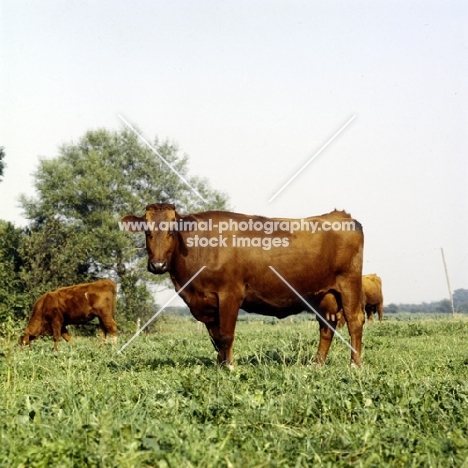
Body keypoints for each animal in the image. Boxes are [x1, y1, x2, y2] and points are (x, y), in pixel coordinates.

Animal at [121, 203, 366, 368]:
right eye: (147, 231)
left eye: (172, 231)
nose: (158, 265)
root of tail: (342, 216)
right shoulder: (207, 302)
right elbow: (215, 338)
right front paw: (220, 366)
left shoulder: (230, 294)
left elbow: (226, 335)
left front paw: (229, 367)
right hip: (323, 296)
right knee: (326, 327)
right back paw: (316, 364)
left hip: (349, 283)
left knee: (355, 321)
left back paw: (354, 364)